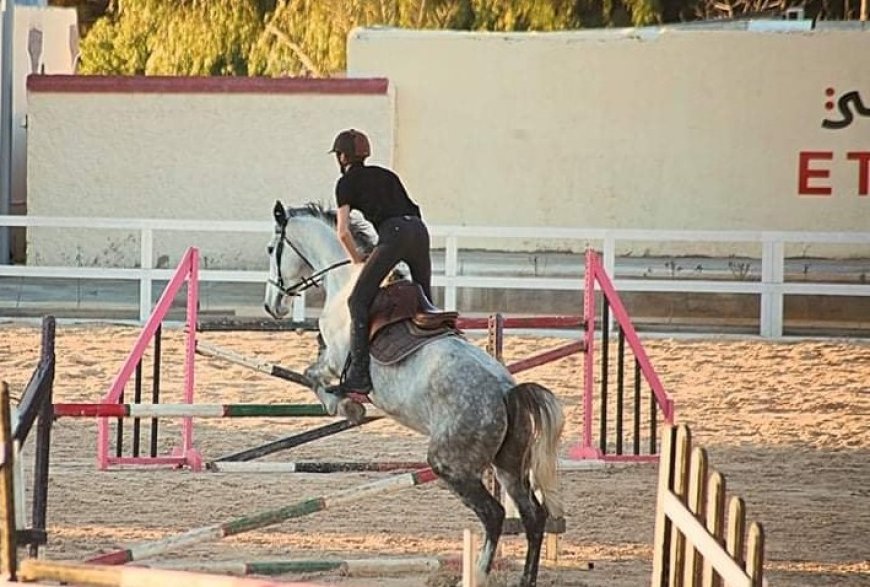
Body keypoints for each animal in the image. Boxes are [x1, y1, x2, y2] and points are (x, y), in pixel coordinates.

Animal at [262, 202, 568, 587]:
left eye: (270, 250)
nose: (272, 306)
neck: (345, 280)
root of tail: (507, 392)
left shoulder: (334, 359)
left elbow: (314, 376)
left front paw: (346, 406)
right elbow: (312, 373)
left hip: (450, 464)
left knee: (495, 514)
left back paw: (478, 573)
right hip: (508, 466)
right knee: (532, 516)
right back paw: (524, 578)